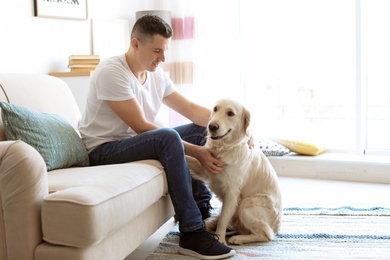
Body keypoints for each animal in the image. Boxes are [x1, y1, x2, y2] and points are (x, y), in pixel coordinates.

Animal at [187, 98, 282, 245]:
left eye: (230, 113)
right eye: (215, 109)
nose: (212, 126)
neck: (225, 148)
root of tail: (277, 227)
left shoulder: (232, 192)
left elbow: (223, 219)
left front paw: (220, 240)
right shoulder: (204, 167)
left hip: (246, 203)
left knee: (266, 234)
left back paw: (238, 238)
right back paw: (209, 224)